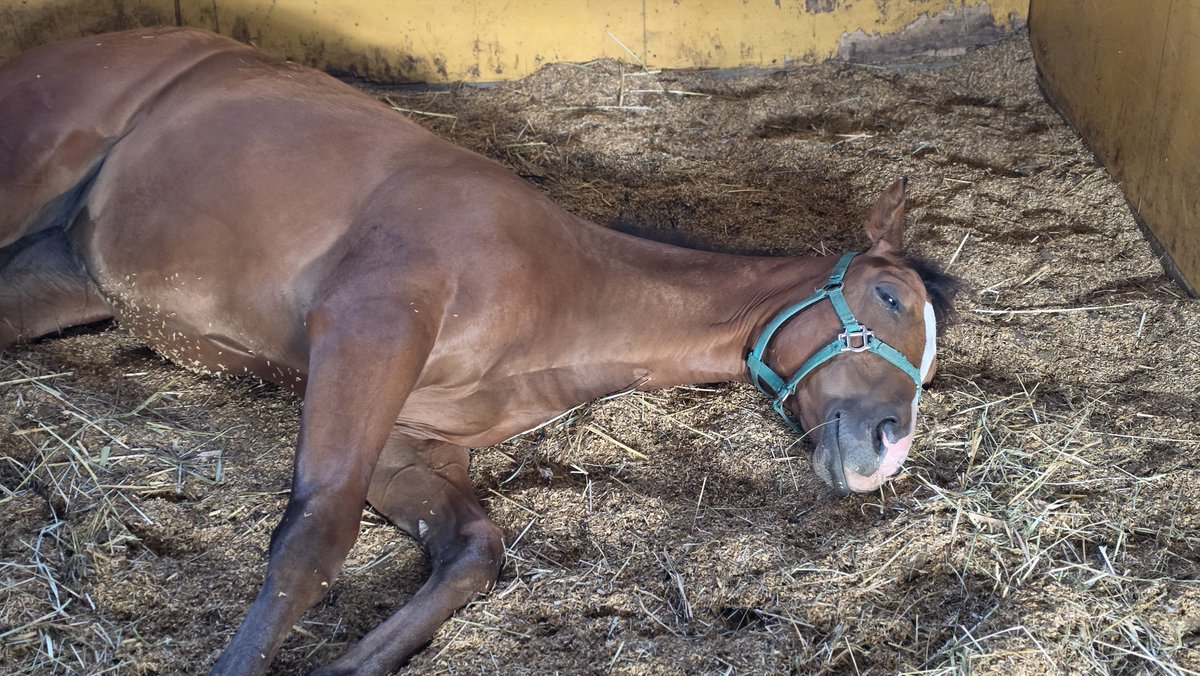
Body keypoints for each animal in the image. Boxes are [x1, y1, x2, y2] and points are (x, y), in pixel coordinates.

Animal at [0, 27, 956, 675]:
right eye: (888, 297)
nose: (888, 449)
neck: (558, 292)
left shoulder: (410, 447)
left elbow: (474, 552)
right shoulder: (369, 328)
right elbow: (315, 537)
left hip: (61, 276)